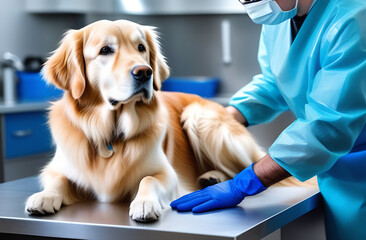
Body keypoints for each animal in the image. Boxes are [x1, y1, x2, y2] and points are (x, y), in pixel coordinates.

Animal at [24, 19, 314, 222]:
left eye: (141, 48)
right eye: (105, 50)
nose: (144, 72)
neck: (112, 133)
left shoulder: (167, 174)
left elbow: (148, 180)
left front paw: (144, 203)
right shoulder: (56, 168)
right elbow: (57, 180)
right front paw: (44, 197)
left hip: (199, 117)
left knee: (246, 166)